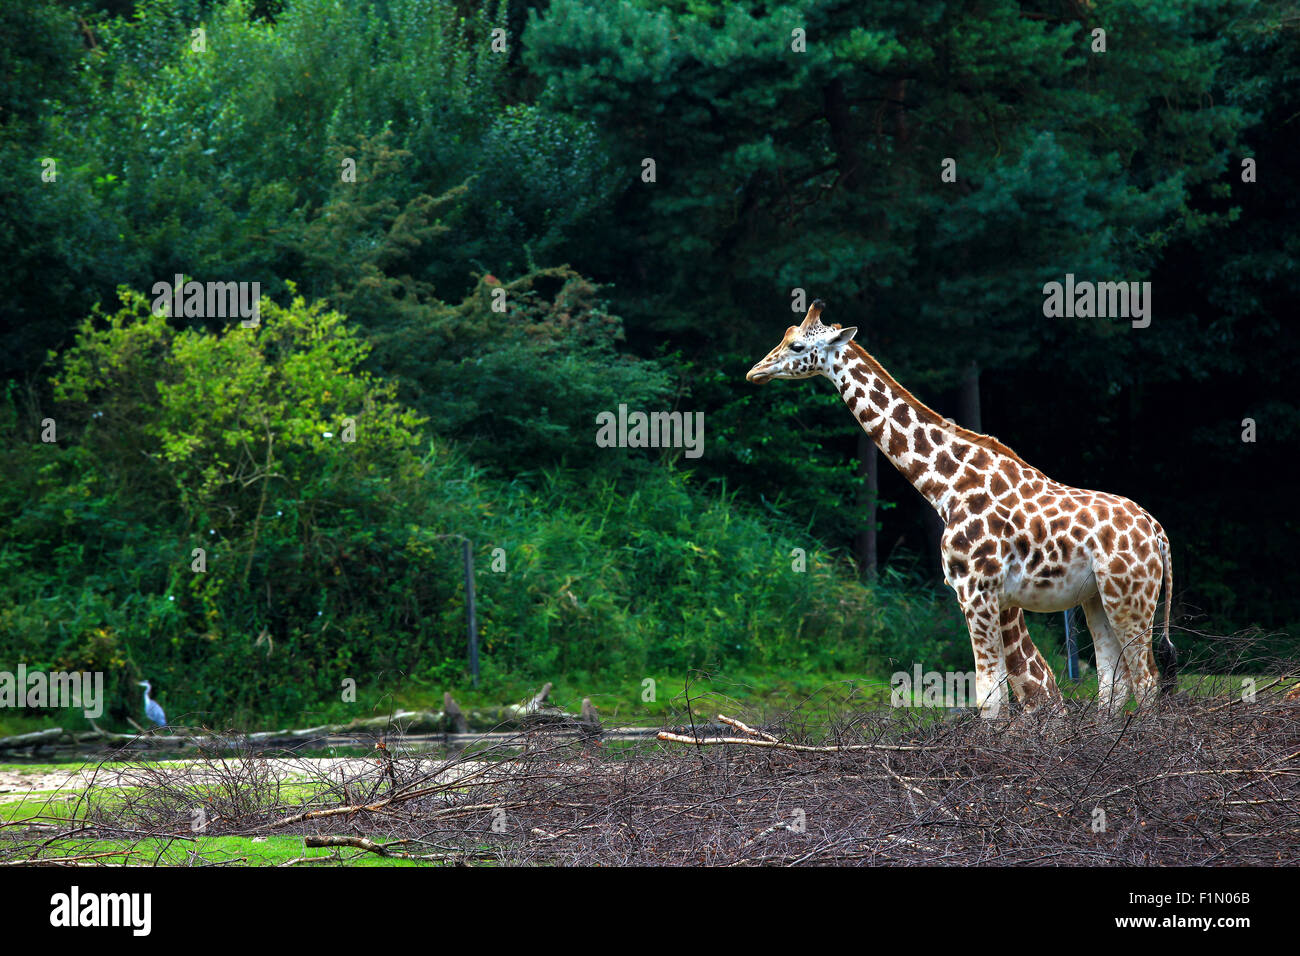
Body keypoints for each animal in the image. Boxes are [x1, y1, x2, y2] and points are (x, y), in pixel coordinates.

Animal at [743, 300, 1180, 717]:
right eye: (784, 336)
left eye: (796, 346)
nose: (754, 372)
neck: (945, 486)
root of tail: (1157, 532)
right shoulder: (990, 597)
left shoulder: (976, 591)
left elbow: (991, 696)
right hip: (1097, 599)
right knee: (1113, 683)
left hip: (1130, 596)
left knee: (1146, 680)